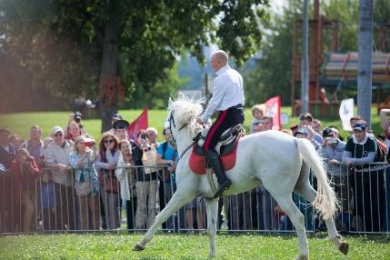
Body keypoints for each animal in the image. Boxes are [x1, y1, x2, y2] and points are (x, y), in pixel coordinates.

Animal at [133, 96, 348, 258]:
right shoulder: (211, 199)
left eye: (169, 117)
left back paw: (303, 254)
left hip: (280, 192)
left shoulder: (183, 194)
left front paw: (141, 244)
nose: (167, 138)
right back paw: (339, 242)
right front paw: (212, 255)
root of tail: (295, 141)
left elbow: (161, 215)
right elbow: (211, 229)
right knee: (322, 205)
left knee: (298, 217)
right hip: (301, 186)